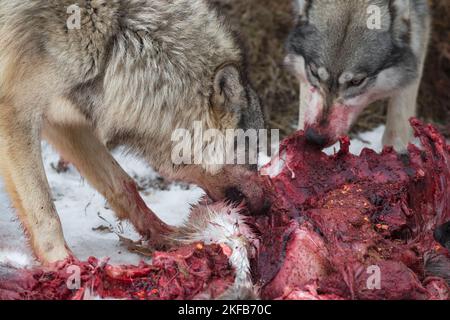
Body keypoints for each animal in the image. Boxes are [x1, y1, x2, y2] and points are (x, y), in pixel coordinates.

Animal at [0, 0, 264, 264]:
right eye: (254, 151)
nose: (266, 205)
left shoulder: (61, 118)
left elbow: (123, 183)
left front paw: (164, 235)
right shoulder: (17, 114)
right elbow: (46, 213)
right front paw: (63, 263)